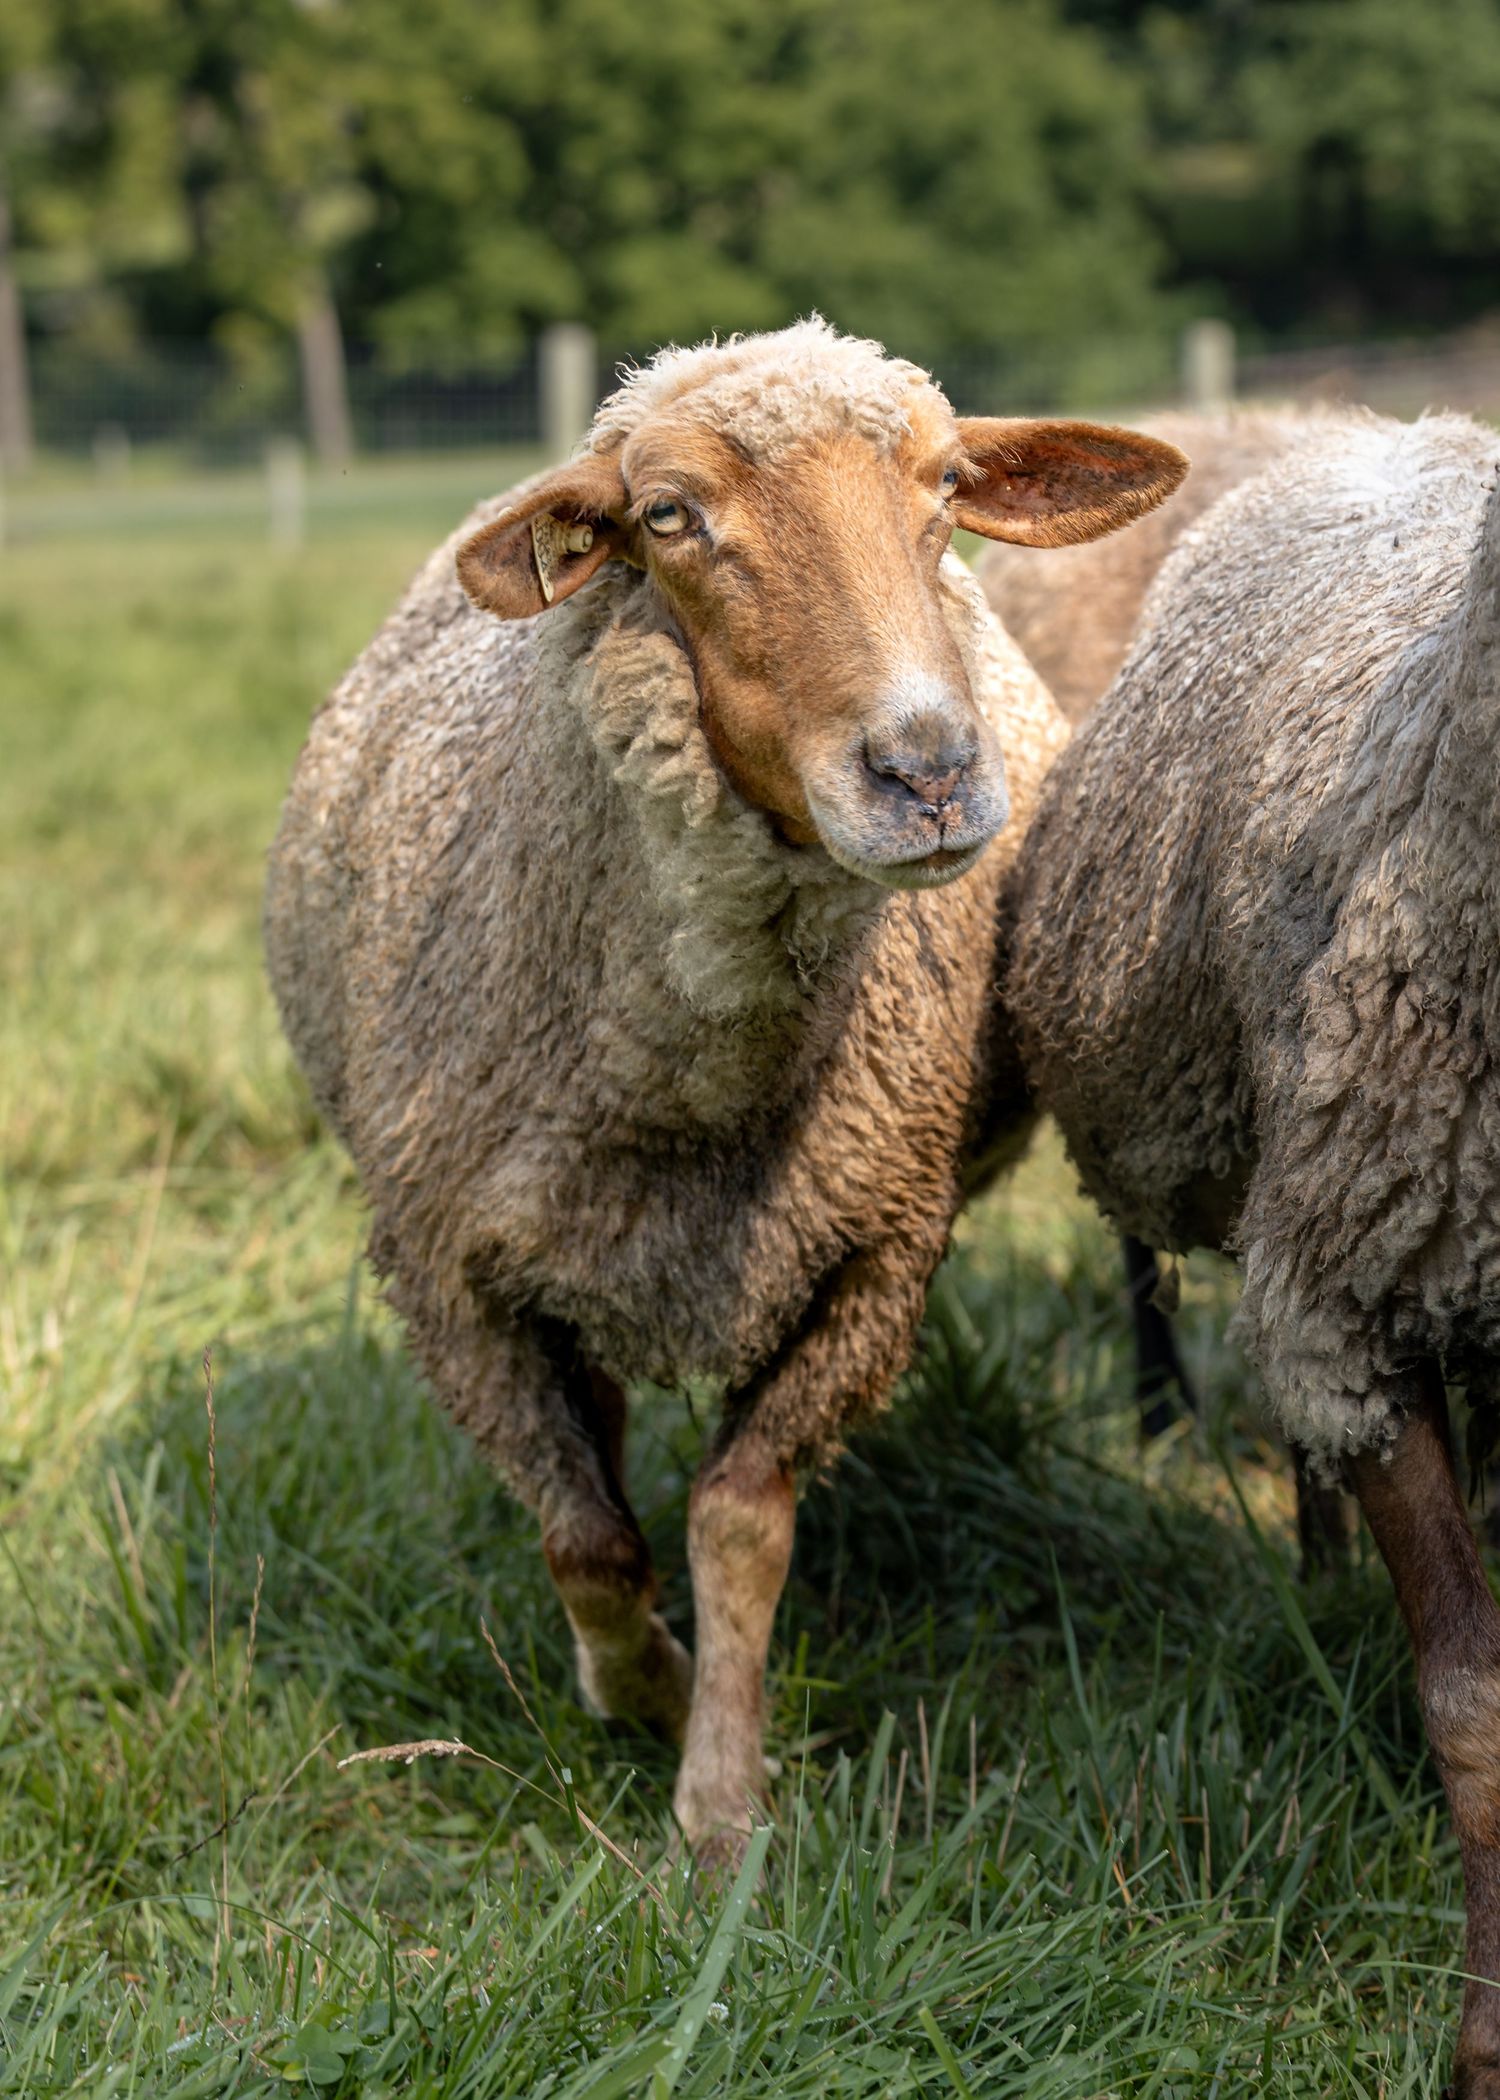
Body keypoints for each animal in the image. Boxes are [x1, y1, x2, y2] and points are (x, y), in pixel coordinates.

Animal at [263, 318, 1186, 1865]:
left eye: (948, 487)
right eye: (669, 519)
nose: (927, 771)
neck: (691, 1094)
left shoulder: (868, 1259)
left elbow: (739, 1523)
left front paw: (719, 1805)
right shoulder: (455, 1282)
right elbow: (589, 1542)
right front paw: (641, 1687)